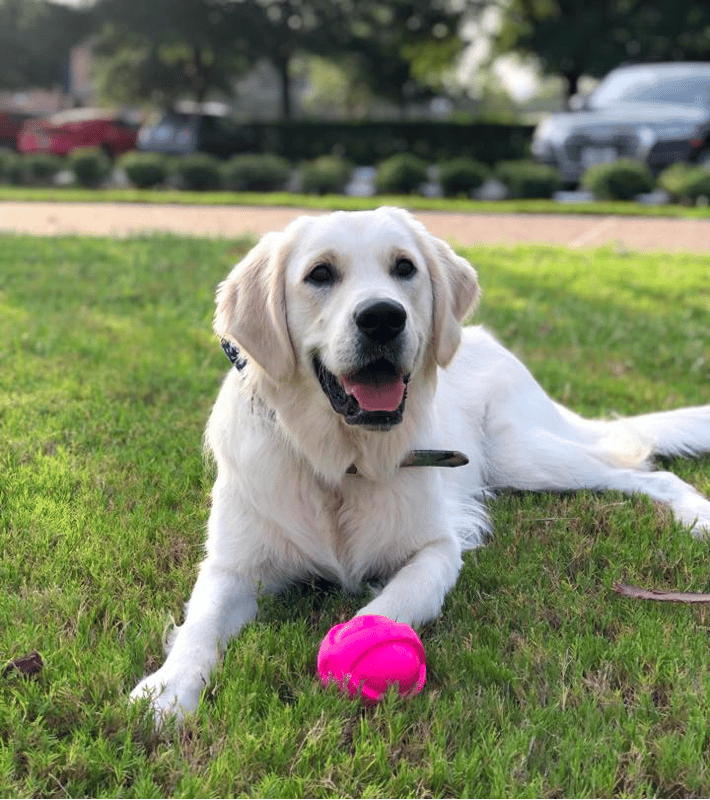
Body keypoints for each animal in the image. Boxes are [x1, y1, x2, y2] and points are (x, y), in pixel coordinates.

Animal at [129, 205, 710, 720]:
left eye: (404, 267)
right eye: (320, 274)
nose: (383, 318)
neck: (343, 463)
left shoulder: (437, 548)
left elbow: (389, 604)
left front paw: (361, 642)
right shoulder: (233, 566)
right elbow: (200, 625)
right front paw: (168, 690)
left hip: (524, 455)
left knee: (644, 469)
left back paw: (696, 515)